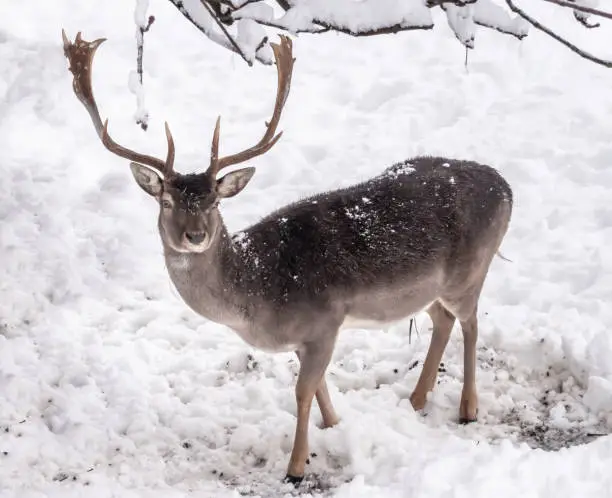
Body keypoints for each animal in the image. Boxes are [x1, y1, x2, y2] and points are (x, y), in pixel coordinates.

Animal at [62, 30, 512, 482]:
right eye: (166, 202)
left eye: (214, 202)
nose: (196, 235)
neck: (259, 293)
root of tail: (506, 186)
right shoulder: (307, 335)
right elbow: (319, 388)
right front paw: (334, 426)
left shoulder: (325, 320)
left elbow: (302, 390)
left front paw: (296, 466)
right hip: (435, 288)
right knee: (443, 319)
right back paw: (417, 400)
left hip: (471, 269)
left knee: (471, 322)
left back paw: (468, 408)